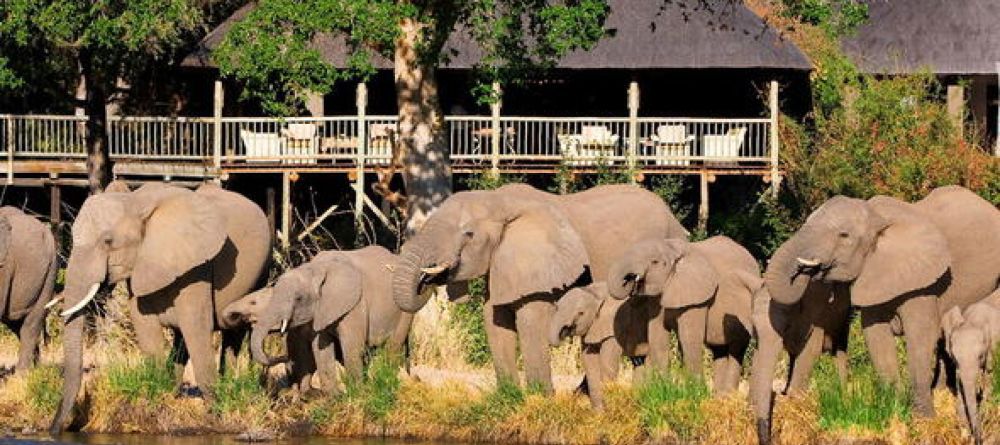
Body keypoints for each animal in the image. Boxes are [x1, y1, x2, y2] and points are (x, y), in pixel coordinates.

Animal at [50, 182, 271, 433]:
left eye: (107, 241)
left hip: (260, 273)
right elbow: (145, 328)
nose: (55, 429)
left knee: (234, 334)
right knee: (184, 339)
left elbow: (197, 328)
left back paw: (232, 385)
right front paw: (158, 399)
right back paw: (177, 391)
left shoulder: (197, 268)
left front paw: (215, 413)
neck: (137, 202)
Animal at [228, 246, 413, 395]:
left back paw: (387, 382)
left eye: (298, 299)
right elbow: (321, 347)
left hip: (405, 308)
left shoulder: (354, 305)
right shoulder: (321, 311)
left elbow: (352, 346)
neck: (314, 269)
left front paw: (357, 394)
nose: (284, 358)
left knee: (393, 347)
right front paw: (333, 396)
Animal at [392, 183, 687, 392]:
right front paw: (509, 397)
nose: (414, 377)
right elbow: (494, 321)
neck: (499, 201)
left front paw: (540, 398)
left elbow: (529, 322)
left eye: (468, 234)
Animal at [607, 235, 757, 393]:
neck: (673, 249)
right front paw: (662, 388)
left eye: (654, 262)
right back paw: (718, 395)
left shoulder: (696, 296)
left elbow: (688, 338)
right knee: (719, 350)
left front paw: (696, 391)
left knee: (737, 348)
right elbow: (658, 339)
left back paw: (727, 395)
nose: (630, 279)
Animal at [941, 290, 1000, 445]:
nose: (978, 440)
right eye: (955, 358)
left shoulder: (993, 351)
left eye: (980, 356)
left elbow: (990, 379)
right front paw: (965, 434)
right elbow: (959, 385)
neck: (975, 320)